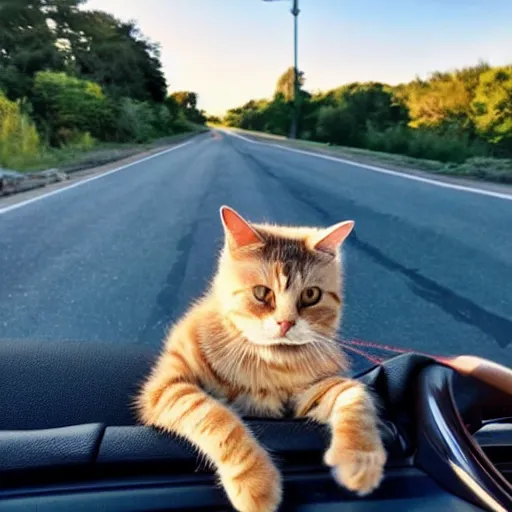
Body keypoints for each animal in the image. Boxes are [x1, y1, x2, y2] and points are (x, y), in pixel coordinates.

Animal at [136, 206, 384, 512]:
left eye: (310, 295)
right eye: (261, 293)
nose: (286, 323)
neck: (267, 360)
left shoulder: (309, 393)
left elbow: (354, 395)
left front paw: (360, 457)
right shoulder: (167, 387)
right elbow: (216, 417)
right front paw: (255, 483)